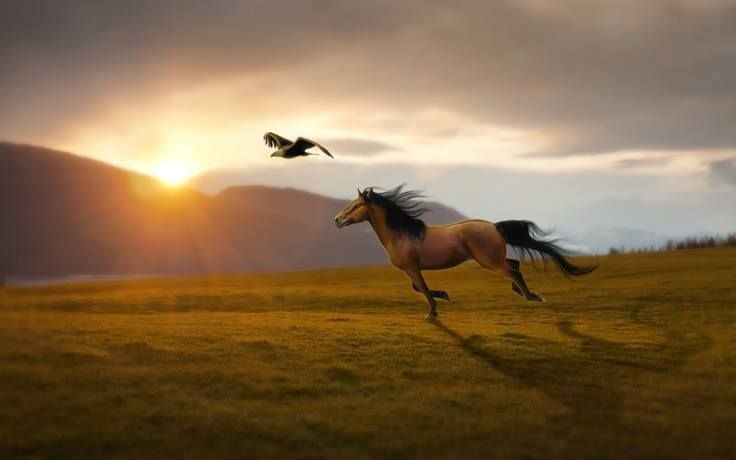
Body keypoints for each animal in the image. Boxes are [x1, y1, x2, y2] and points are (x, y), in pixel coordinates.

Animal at [334, 185, 600, 318]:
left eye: (356, 206)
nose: (337, 220)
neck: (401, 234)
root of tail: (494, 226)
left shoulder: (412, 267)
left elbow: (421, 288)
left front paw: (433, 311)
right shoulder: (413, 269)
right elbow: (417, 288)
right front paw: (443, 296)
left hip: (489, 261)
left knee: (513, 270)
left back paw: (531, 296)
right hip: (494, 257)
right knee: (514, 264)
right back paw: (522, 292)